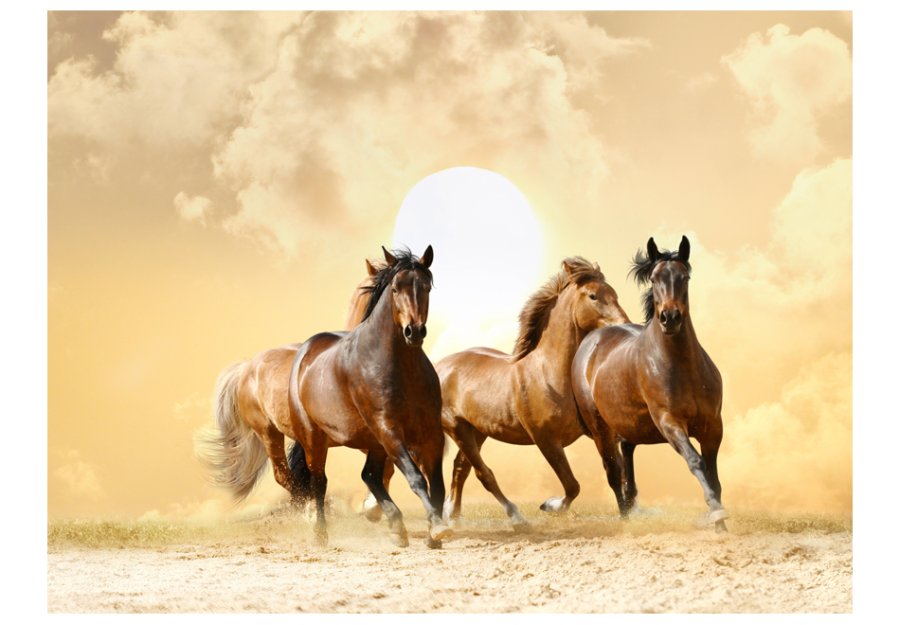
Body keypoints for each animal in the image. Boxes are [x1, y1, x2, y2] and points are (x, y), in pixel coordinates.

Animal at [198, 246, 451, 548]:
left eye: (426, 287)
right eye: (395, 289)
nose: (414, 331)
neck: (400, 367)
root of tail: (248, 366)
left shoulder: (429, 432)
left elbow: (435, 483)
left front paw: (433, 529)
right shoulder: (388, 430)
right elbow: (415, 477)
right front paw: (436, 526)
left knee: (367, 475)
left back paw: (394, 526)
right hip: (293, 435)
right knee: (309, 479)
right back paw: (319, 529)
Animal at [436, 257, 629, 529]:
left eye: (614, 294)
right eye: (593, 296)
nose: (624, 325)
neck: (549, 373)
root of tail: (439, 366)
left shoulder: (596, 432)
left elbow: (616, 471)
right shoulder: (546, 440)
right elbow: (572, 485)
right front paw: (550, 506)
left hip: (477, 431)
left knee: (460, 469)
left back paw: (452, 516)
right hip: (458, 429)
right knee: (483, 473)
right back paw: (516, 517)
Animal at [570, 236, 728, 531]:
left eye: (685, 277)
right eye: (654, 279)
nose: (670, 318)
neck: (683, 368)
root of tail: (591, 340)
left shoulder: (713, 426)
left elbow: (714, 476)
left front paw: (721, 525)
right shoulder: (669, 422)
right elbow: (696, 462)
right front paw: (717, 513)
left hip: (629, 425)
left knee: (627, 463)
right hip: (600, 429)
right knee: (613, 472)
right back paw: (625, 520)